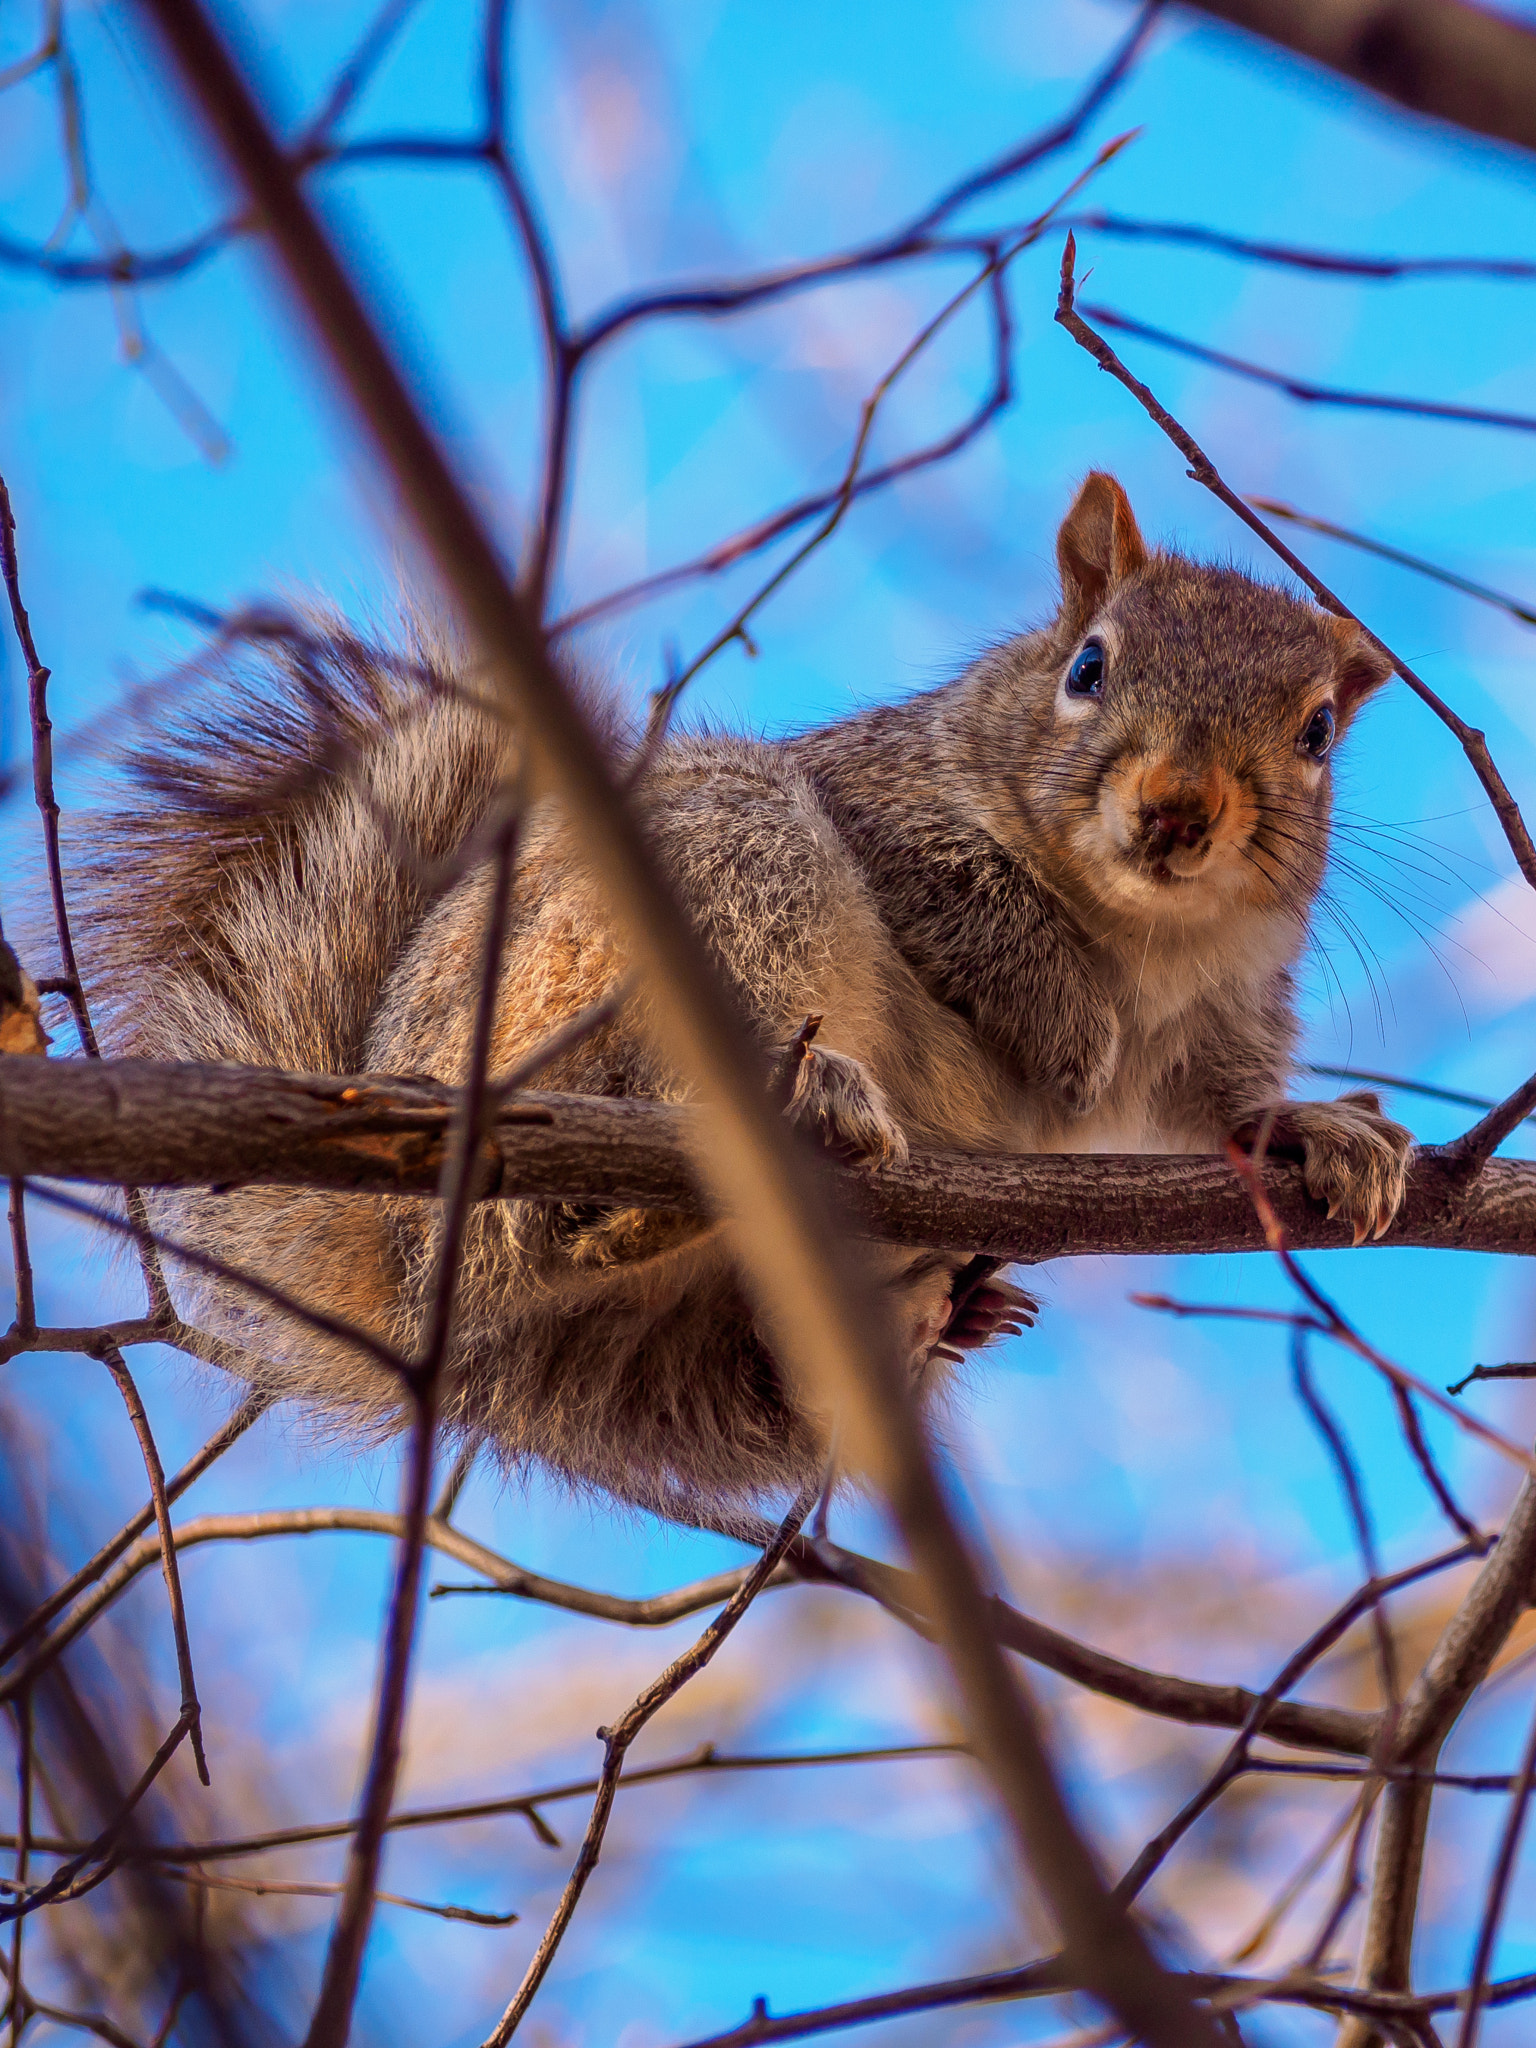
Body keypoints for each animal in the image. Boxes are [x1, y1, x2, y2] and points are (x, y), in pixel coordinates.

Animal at [71, 472, 1413, 1522]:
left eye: (1317, 734)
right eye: (1089, 667)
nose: (1178, 809)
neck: (1140, 933)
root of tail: (405, 1271)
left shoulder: (1227, 1007)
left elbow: (1218, 1096)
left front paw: (1315, 1131)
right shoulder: (890, 818)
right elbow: (977, 913)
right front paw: (1070, 1033)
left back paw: (914, 1317)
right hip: (686, 882)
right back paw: (798, 1101)